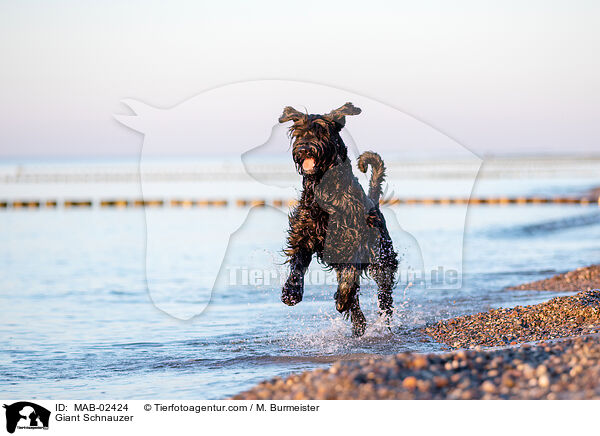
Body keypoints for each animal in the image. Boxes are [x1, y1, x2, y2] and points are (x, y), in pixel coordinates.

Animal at [280, 103, 398, 338]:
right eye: (299, 132)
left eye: (321, 131)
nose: (304, 149)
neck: (325, 190)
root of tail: (374, 202)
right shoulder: (304, 234)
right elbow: (297, 263)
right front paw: (291, 292)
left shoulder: (354, 240)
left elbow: (350, 275)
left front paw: (342, 297)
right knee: (356, 298)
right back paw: (359, 323)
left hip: (383, 259)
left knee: (384, 294)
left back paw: (381, 320)